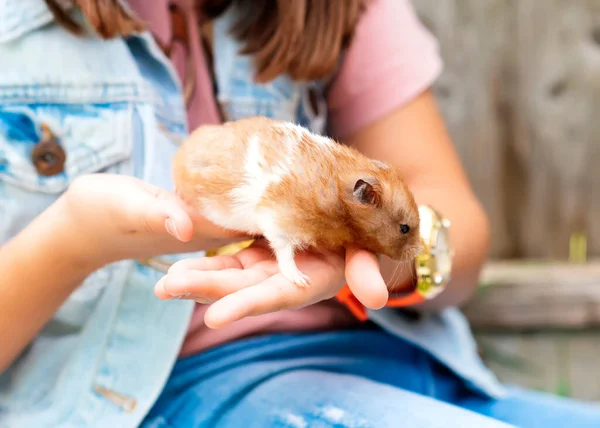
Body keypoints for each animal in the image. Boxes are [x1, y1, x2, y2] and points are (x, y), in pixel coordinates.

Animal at [171, 116, 420, 288]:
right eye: (404, 228)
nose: (418, 252)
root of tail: (183, 147)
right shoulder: (277, 220)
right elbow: (285, 253)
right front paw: (301, 280)